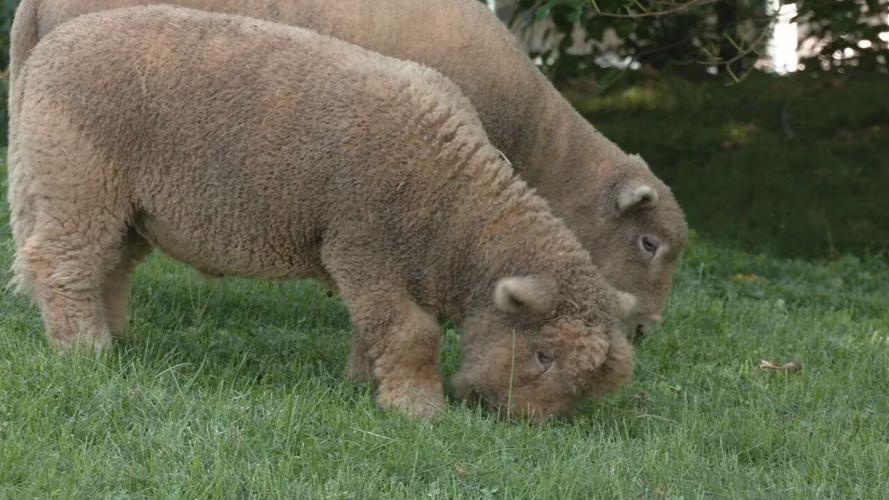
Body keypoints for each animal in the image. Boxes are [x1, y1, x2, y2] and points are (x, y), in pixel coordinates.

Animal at [9, 5, 634, 420]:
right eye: (544, 354)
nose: (522, 426)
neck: (455, 212)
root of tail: (49, 49)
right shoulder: (362, 244)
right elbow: (411, 333)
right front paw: (418, 410)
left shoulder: (381, 267)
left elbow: (373, 326)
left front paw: (366, 383)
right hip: (79, 180)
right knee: (61, 265)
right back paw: (85, 349)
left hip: (130, 204)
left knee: (109, 267)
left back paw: (115, 338)